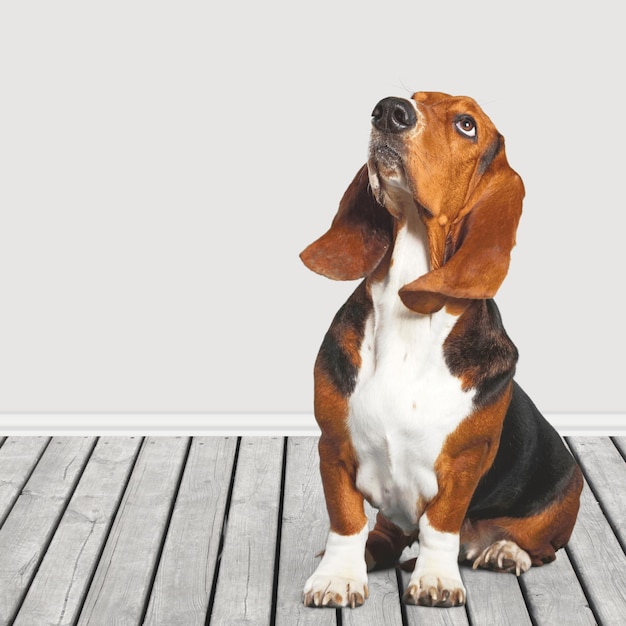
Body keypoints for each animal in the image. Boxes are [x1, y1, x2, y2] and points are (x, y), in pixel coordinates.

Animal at [298, 90, 580, 608]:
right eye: (413, 98)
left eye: (467, 124)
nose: (389, 110)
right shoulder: (333, 446)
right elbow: (346, 521)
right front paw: (338, 576)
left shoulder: (463, 465)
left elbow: (440, 525)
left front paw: (434, 579)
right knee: (385, 533)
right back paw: (376, 551)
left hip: (557, 504)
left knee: (538, 547)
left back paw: (505, 551)